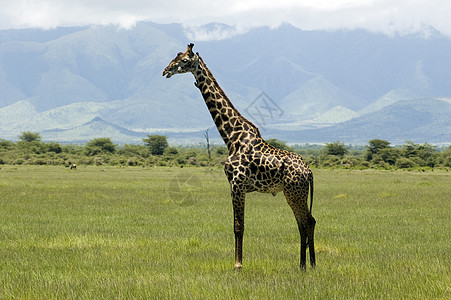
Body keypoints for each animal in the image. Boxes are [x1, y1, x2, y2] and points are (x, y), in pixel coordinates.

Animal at [164, 42, 316, 270]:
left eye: (183, 60)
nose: (166, 70)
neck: (231, 137)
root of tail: (309, 172)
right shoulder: (237, 186)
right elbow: (238, 225)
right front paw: (238, 263)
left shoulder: (236, 184)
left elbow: (238, 226)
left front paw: (237, 265)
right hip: (295, 192)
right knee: (307, 222)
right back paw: (308, 265)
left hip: (294, 192)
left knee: (306, 222)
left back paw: (306, 265)